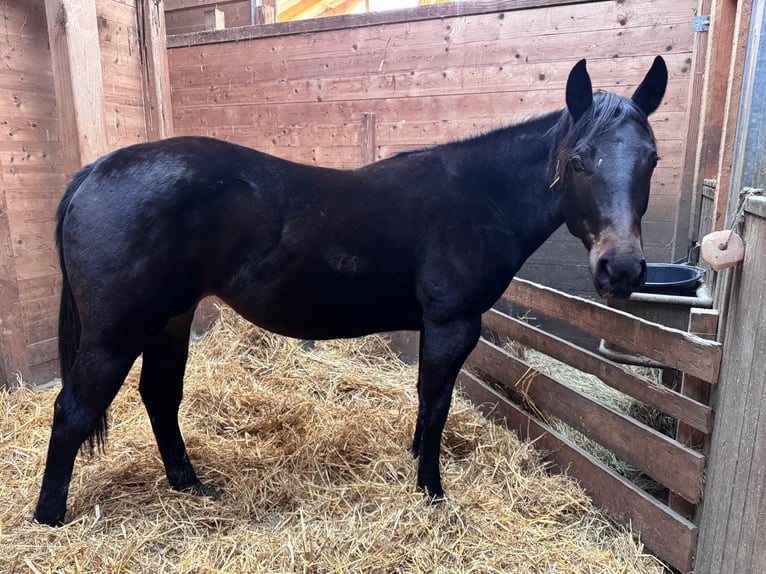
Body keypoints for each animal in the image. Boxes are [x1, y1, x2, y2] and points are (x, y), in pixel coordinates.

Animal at [34, 56, 668, 526]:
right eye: (579, 161)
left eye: (652, 159)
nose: (622, 270)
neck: (476, 197)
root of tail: (93, 172)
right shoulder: (451, 324)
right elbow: (436, 405)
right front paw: (432, 491)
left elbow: (426, 404)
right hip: (116, 333)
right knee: (73, 410)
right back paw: (49, 518)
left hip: (171, 318)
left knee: (159, 396)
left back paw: (191, 486)